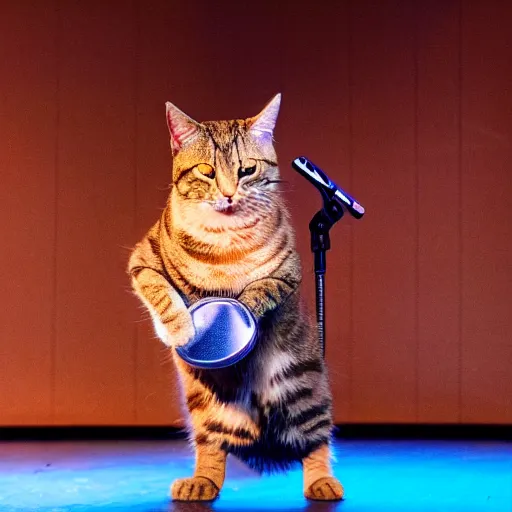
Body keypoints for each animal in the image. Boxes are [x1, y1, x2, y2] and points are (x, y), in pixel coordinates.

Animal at [127, 94, 344, 502]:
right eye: (206, 171)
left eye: (247, 170)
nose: (229, 194)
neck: (225, 241)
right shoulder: (142, 260)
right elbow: (160, 291)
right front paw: (178, 327)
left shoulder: (288, 272)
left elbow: (259, 290)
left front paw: (242, 306)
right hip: (204, 406)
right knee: (212, 448)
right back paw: (201, 482)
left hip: (303, 388)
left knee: (316, 441)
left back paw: (322, 482)